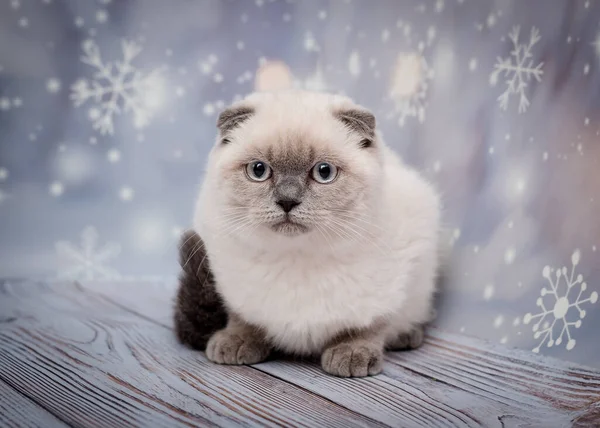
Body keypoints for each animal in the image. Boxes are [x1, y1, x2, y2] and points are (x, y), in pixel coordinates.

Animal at [173, 90, 440, 378]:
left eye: (324, 172)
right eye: (258, 170)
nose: (287, 201)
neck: (296, 256)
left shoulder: (386, 290)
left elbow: (368, 326)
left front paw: (352, 353)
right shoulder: (232, 288)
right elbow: (243, 318)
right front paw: (236, 341)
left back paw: (406, 336)